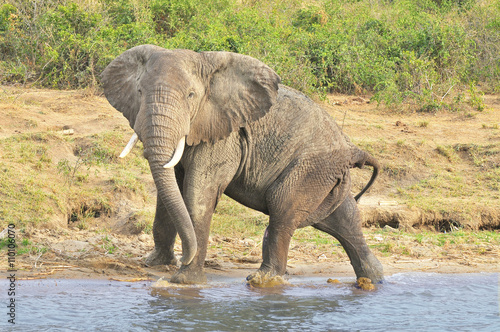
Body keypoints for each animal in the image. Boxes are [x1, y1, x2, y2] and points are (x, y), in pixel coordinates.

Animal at [101, 43, 382, 282]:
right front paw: (154, 264)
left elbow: (199, 195)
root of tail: (352, 149)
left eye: (191, 95)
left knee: (282, 209)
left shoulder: (224, 137)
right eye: (139, 92)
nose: (183, 259)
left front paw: (184, 281)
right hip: (326, 175)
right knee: (343, 219)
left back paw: (263, 279)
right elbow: (169, 193)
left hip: (311, 169)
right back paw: (373, 279)